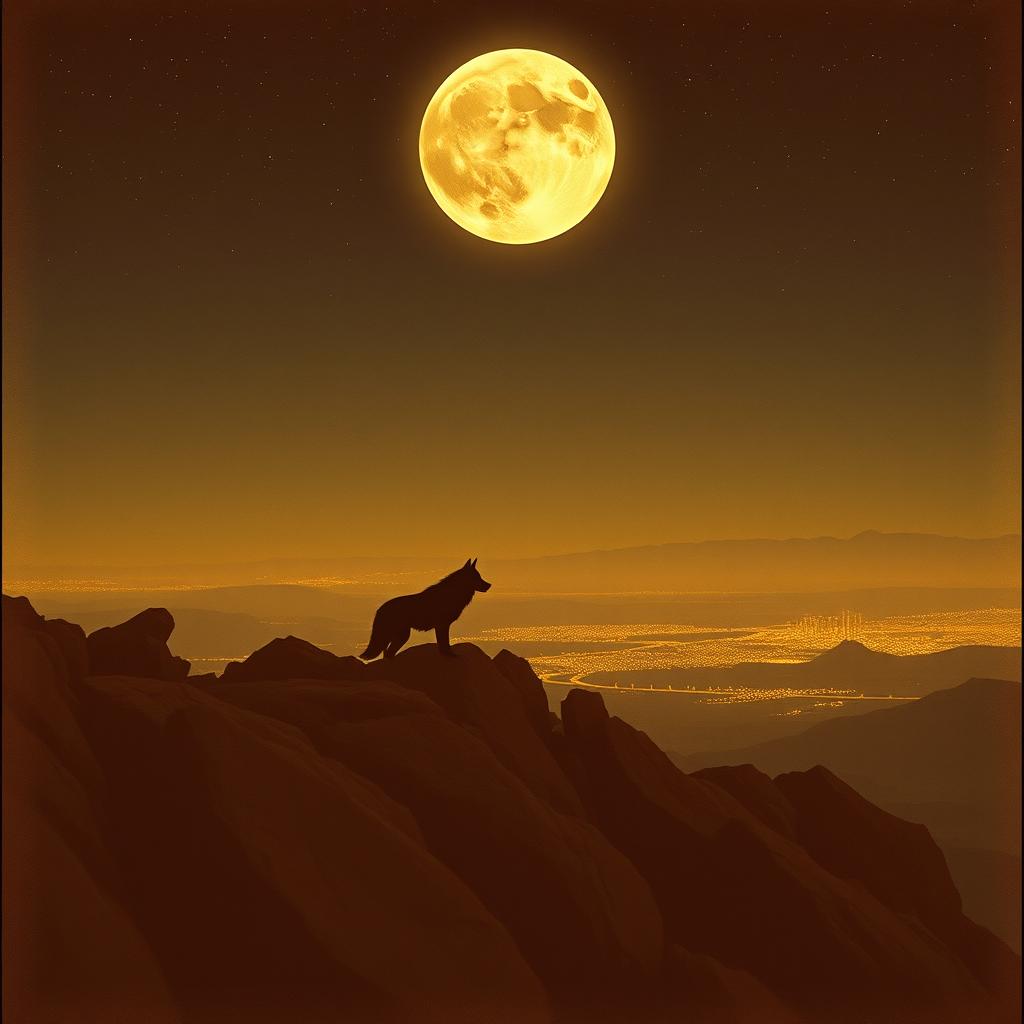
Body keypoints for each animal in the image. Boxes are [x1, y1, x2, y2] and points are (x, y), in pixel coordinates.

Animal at [359, 558, 491, 660]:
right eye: (477, 577)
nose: (489, 585)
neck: (452, 593)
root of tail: (380, 609)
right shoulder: (442, 626)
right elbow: (444, 644)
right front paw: (449, 656)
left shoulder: (443, 626)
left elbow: (444, 644)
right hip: (397, 636)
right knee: (387, 652)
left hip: (400, 636)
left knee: (387, 653)